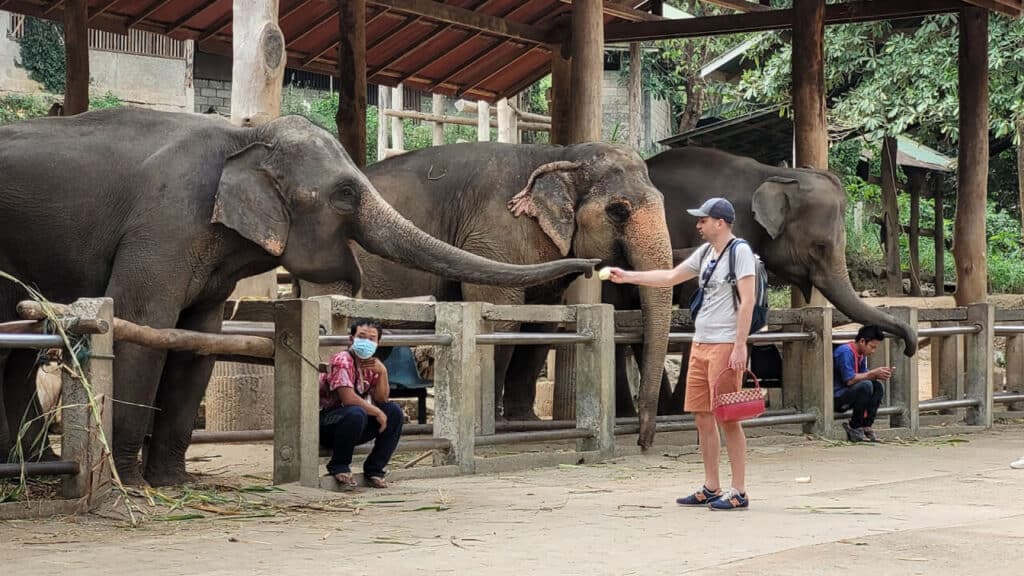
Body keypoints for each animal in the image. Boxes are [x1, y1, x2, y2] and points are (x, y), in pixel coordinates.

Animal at [0, 107, 598, 486]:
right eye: (346, 194)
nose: (593, 263)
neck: (242, 137)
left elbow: (199, 341)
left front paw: (174, 484)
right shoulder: (163, 226)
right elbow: (140, 325)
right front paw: (131, 485)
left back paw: (30, 467)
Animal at [300, 142, 674, 448]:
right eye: (619, 210)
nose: (643, 441)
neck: (560, 153)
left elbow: (541, 326)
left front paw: (526, 423)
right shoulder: (496, 233)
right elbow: (502, 319)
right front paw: (492, 425)